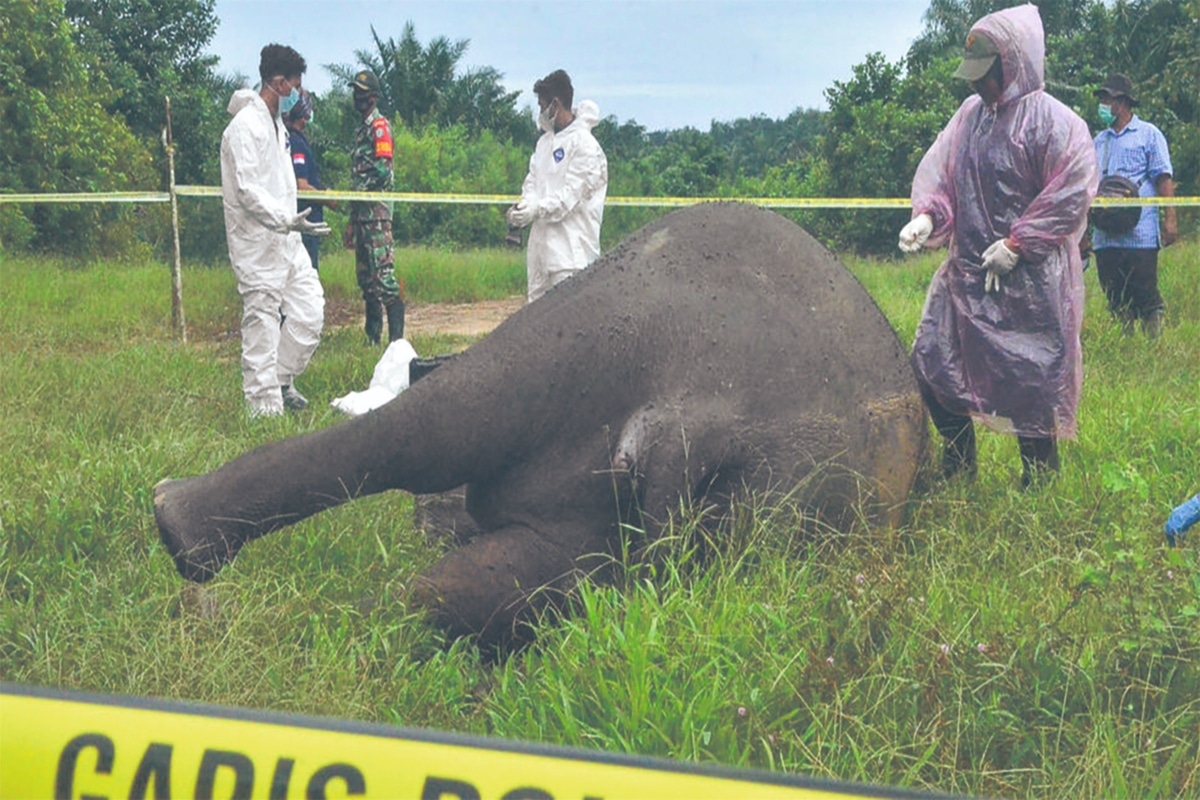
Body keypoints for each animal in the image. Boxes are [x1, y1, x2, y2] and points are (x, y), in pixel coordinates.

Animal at [154, 203, 928, 646]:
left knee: (459, 561)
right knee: (449, 442)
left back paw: (200, 579)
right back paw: (190, 559)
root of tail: (697, 414)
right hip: (613, 326)